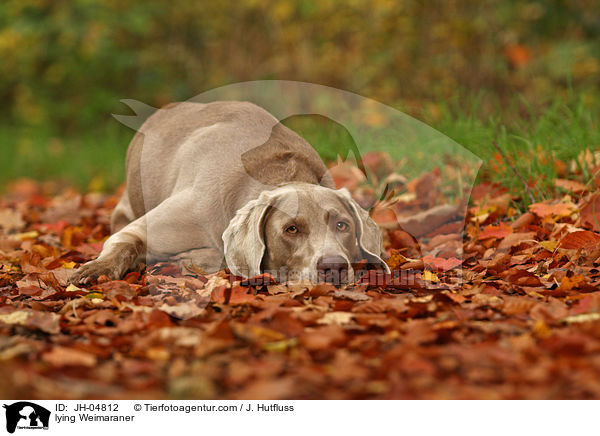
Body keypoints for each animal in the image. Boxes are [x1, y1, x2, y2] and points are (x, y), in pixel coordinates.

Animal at [70, 100, 390, 284]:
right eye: (291, 229)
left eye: (342, 225)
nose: (333, 267)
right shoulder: (146, 226)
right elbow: (124, 243)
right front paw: (95, 269)